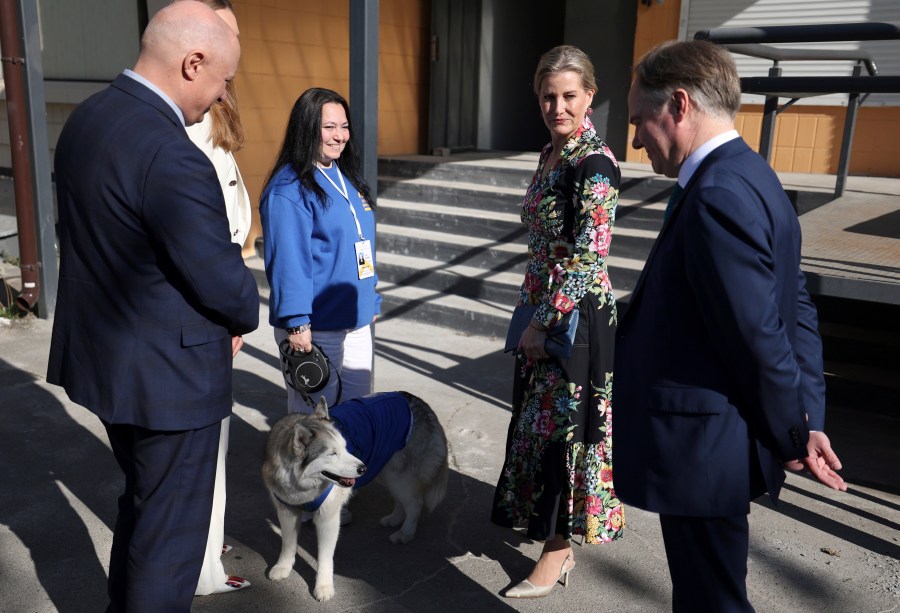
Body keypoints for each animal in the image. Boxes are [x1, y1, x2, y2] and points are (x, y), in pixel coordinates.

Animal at [262, 390, 448, 600]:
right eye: (332, 453)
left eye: (345, 447)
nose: (362, 468)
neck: (302, 486)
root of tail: (413, 398)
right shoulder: (287, 510)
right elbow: (287, 542)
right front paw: (283, 566)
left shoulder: (328, 519)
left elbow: (325, 557)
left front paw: (324, 586)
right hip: (385, 469)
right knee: (402, 500)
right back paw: (395, 519)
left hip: (398, 475)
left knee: (415, 503)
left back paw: (405, 532)